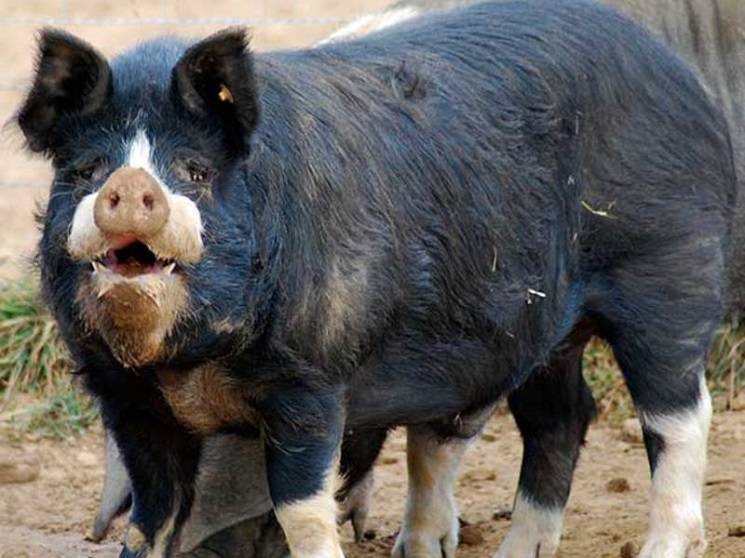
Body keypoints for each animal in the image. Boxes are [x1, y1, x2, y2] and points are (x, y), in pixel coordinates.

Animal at [17, 1, 735, 557]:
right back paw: (511, 550)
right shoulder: (127, 400)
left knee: (678, 418)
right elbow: (150, 515)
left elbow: (302, 509)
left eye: (193, 170)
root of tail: (677, 75)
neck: (188, 367)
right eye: (86, 169)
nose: (129, 186)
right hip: (545, 332)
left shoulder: (311, 382)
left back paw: (662, 544)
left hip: (671, 273)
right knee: (560, 420)